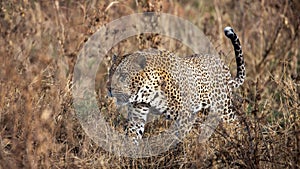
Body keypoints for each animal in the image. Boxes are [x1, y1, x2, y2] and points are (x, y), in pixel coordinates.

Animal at [106, 26, 245, 144]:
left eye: (123, 75)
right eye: (110, 73)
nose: (109, 89)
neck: (147, 92)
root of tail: (223, 65)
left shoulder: (186, 116)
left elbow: (179, 139)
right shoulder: (137, 115)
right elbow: (132, 135)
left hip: (223, 107)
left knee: (234, 123)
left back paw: (240, 140)